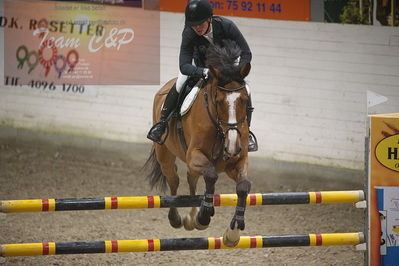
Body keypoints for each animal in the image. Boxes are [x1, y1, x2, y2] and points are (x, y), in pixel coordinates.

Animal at [144, 41, 252, 247]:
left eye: (244, 100)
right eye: (218, 101)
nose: (232, 147)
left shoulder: (237, 161)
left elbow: (243, 186)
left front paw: (233, 232)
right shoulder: (195, 154)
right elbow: (211, 175)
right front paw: (204, 215)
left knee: (191, 179)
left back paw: (191, 218)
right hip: (165, 155)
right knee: (174, 180)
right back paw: (178, 218)